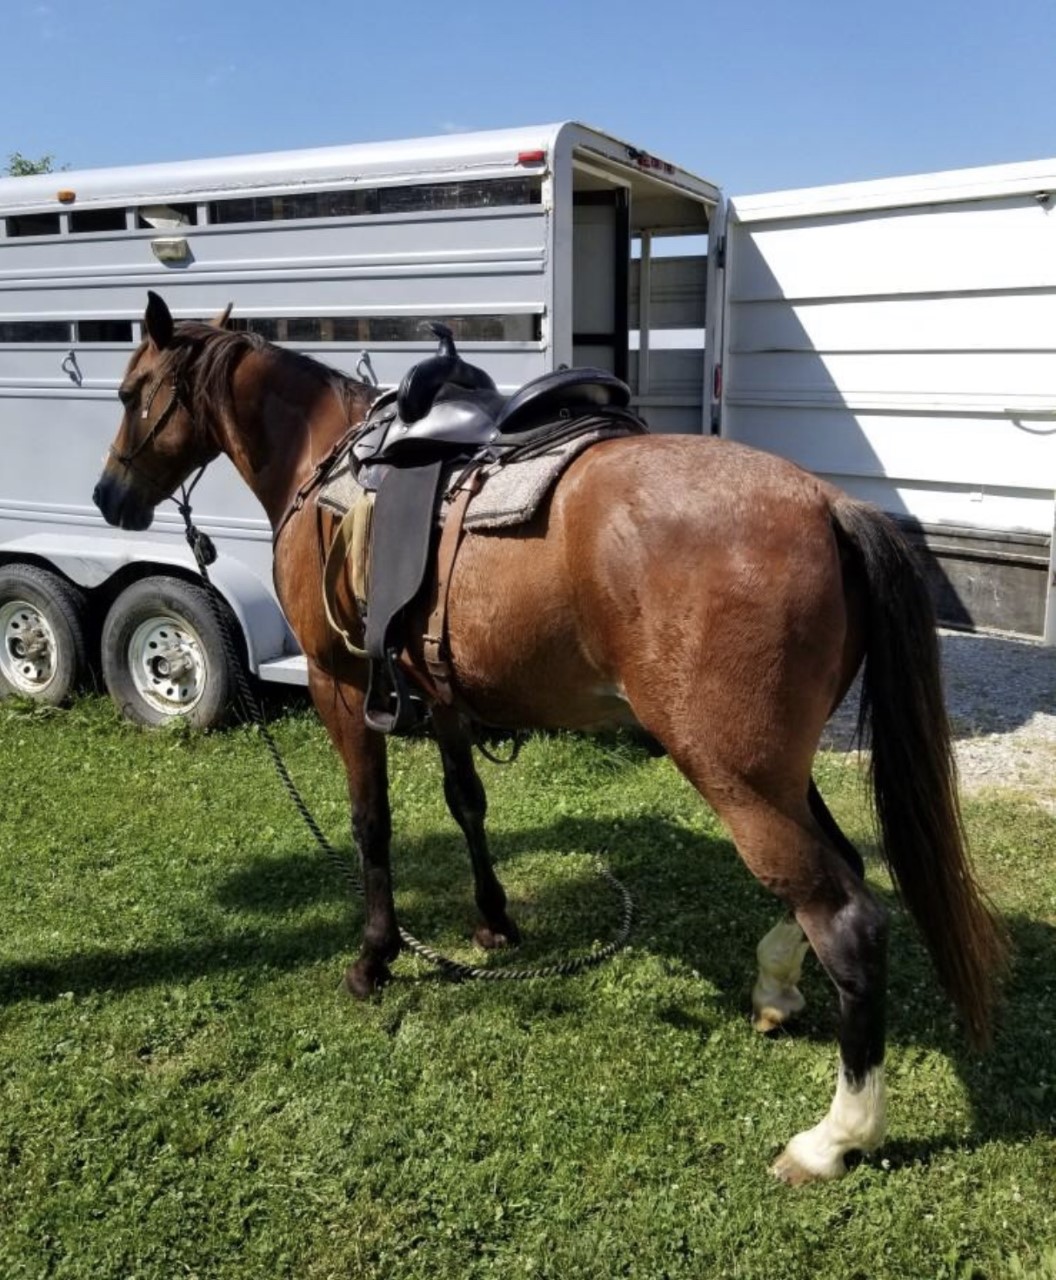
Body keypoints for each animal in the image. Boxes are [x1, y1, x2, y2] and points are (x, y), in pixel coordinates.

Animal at [93, 292, 1007, 1185]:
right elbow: (467, 803)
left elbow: (370, 825)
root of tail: (829, 505)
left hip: (736, 778)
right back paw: (776, 987)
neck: (328, 458)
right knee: (839, 873)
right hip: (777, 773)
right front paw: (495, 920)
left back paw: (836, 1136)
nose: (110, 496)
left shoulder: (341, 688)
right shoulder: (438, 690)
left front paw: (375, 957)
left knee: (847, 919)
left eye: (131, 392)